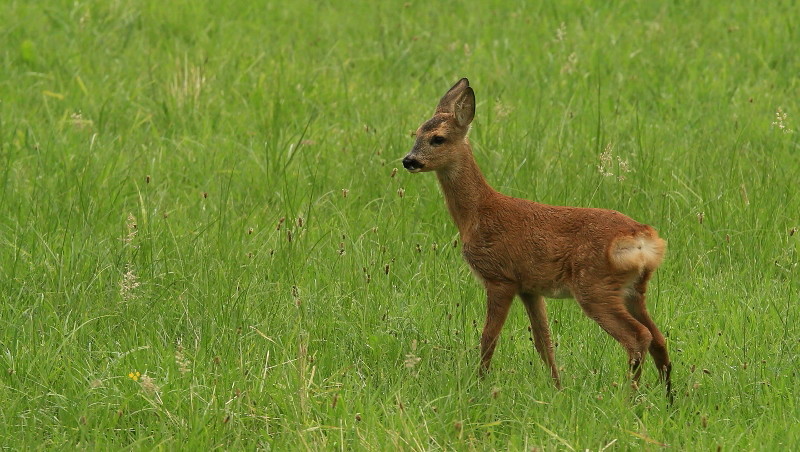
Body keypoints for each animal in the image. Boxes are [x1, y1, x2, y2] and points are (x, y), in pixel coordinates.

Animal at [404, 77, 672, 400]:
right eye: (416, 133)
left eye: (438, 139)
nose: (409, 161)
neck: (476, 213)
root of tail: (642, 238)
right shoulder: (529, 288)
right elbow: (545, 343)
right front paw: (558, 389)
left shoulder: (500, 277)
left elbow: (488, 338)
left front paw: (479, 384)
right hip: (633, 290)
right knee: (659, 338)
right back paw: (669, 399)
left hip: (594, 286)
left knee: (638, 336)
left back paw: (629, 398)